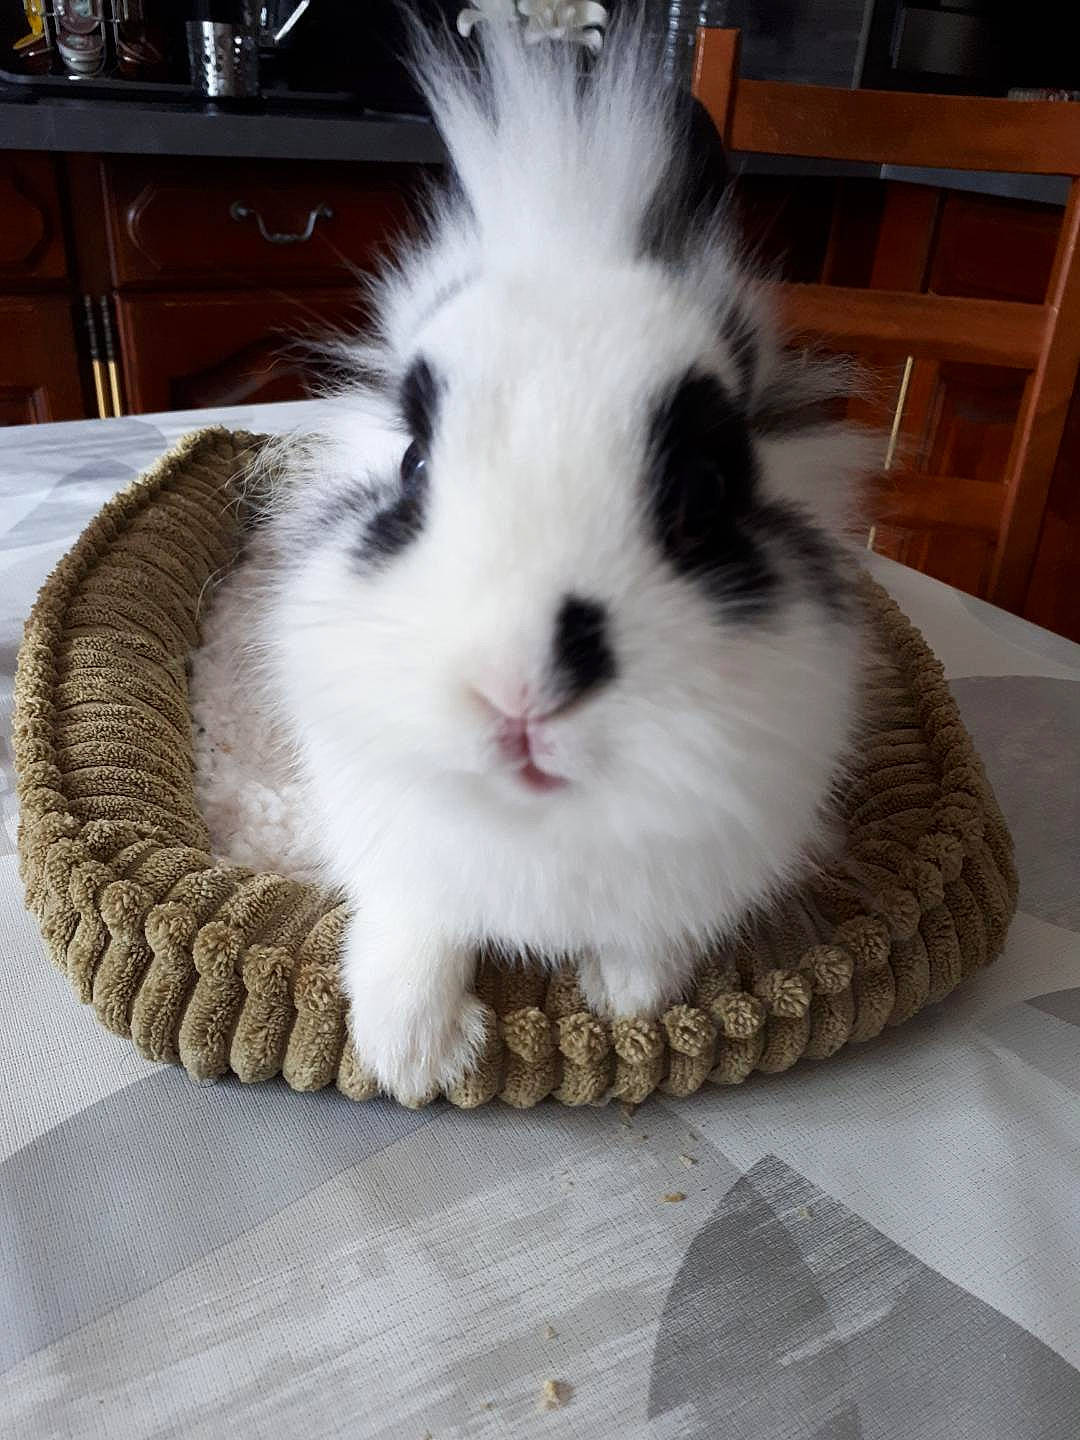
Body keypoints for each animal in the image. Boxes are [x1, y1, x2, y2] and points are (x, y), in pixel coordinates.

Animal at [252, 12, 872, 1104]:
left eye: (703, 493)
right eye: (413, 463)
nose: (518, 689)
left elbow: (645, 940)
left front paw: (627, 999)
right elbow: (413, 928)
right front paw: (413, 1055)